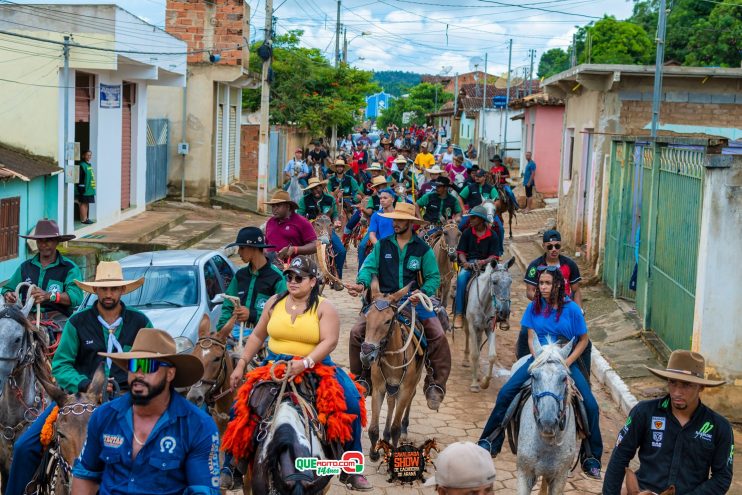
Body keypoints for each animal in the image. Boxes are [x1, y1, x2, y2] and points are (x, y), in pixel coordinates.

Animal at [360, 280, 424, 462]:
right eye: (367, 317)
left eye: (388, 321)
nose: (366, 354)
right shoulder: (379, 388)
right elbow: (373, 428)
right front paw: (374, 452)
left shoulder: (404, 389)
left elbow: (396, 426)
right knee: (390, 401)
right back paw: (386, 436)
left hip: (414, 380)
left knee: (410, 398)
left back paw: (403, 429)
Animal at [462, 258, 516, 394]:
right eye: (494, 282)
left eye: (510, 282)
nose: (504, 312)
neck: (484, 301)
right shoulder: (472, 326)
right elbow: (475, 354)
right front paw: (474, 384)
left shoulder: (490, 328)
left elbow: (492, 356)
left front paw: (485, 382)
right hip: (468, 323)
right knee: (467, 336)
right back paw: (466, 360)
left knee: (479, 342)